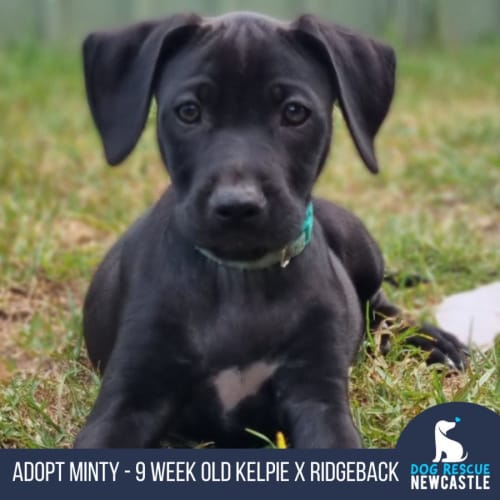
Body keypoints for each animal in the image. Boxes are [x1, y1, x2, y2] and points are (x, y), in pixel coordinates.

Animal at [75, 11, 468, 450]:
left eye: (295, 112)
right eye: (189, 111)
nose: (237, 206)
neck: (238, 280)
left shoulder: (316, 395)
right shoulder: (129, 398)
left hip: (359, 244)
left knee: (378, 305)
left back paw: (434, 342)